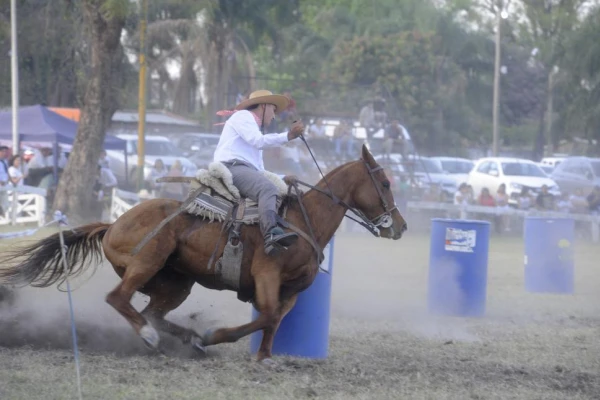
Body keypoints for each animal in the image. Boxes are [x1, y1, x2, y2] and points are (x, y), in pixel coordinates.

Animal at [0, 145, 408, 362]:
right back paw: (153, 338)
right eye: (386, 182)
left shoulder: (292, 291)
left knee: (151, 311)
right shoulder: (267, 278)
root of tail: (112, 224)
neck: (300, 222)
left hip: (176, 283)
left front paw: (263, 357)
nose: (400, 226)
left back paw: (185, 339)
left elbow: (273, 321)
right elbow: (265, 317)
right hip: (148, 261)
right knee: (119, 299)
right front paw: (215, 336)